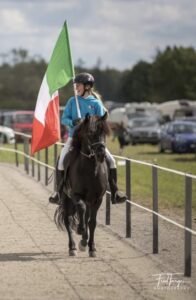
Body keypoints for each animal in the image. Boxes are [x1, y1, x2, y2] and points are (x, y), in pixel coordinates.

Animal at [54, 113, 110, 256]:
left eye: (104, 133)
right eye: (90, 133)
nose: (101, 154)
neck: (91, 170)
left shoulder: (97, 199)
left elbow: (92, 222)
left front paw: (91, 247)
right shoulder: (76, 195)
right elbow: (81, 210)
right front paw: (81, 231)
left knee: (86, 217)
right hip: (65, 198)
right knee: (68, 220)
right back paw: (72, 247)